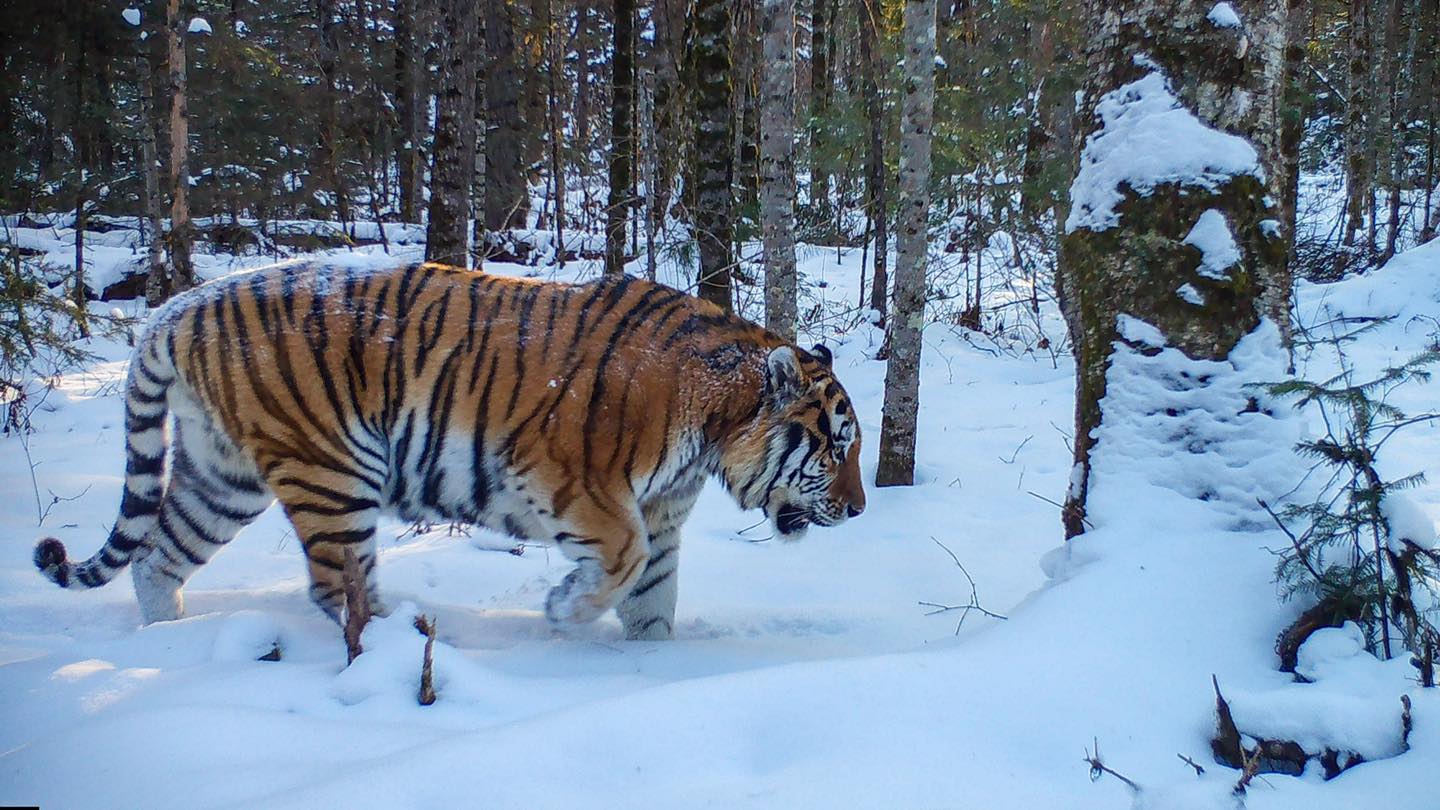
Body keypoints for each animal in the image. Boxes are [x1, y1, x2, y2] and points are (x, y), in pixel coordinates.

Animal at [33, 257, 864, 637]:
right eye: (836, 446)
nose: (858, 510)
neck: (712, 426)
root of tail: (178, 309)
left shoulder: (660, 513)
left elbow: (653, 596)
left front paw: (649, 666)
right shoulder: (575, 481)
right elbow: (622, 562)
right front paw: (564, 611)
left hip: (222, 474)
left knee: (156, 556)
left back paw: (169, 641)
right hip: (334, 469)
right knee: (339, 590)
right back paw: (407, 638)